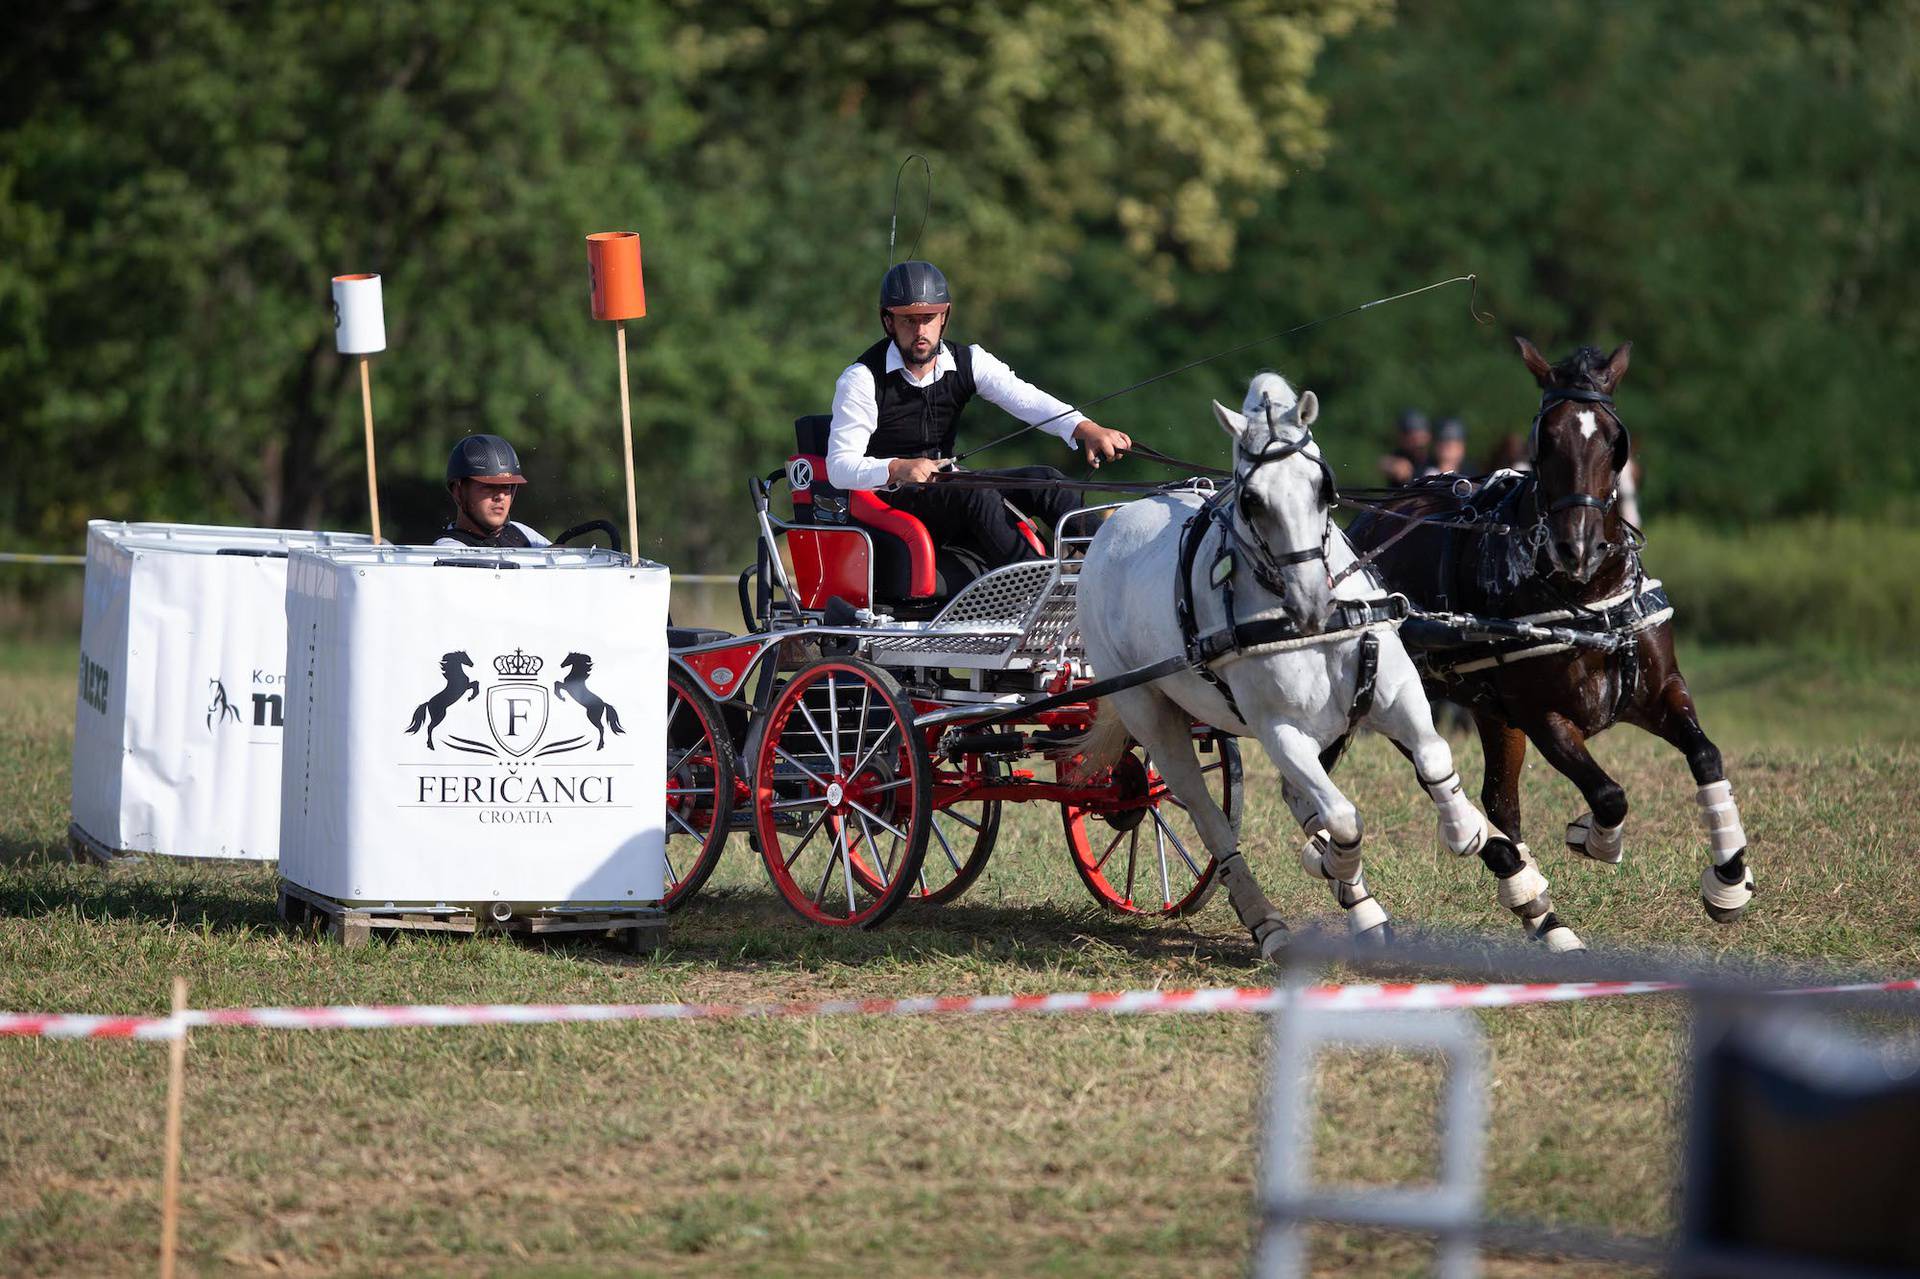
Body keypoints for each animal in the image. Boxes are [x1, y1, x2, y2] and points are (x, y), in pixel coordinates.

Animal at [1075, 374, 1582, 952]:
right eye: (1251, 499)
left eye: (1323, 487)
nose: (1313, 603)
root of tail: (1111, 525)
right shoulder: (1280, 731)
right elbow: (1342, 819)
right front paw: (1333, 864)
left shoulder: (1395, 692)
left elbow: (1434, 759)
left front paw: (1470, 833)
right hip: (1150, 715)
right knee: (1209, 819)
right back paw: (1271, 922)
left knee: (1294, 798)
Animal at [1351, 336, 1758, 917]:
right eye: (1546, 439)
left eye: (1614, 441)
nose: (1579, 546)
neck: (1587, 603)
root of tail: (1366, 522)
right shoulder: (1543, 717)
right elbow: (1609, 795)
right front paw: (1596, 837)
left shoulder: (1658, 691)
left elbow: (1705, 754)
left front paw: (1728, 876)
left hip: (1491, 712)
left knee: (1499, 800)